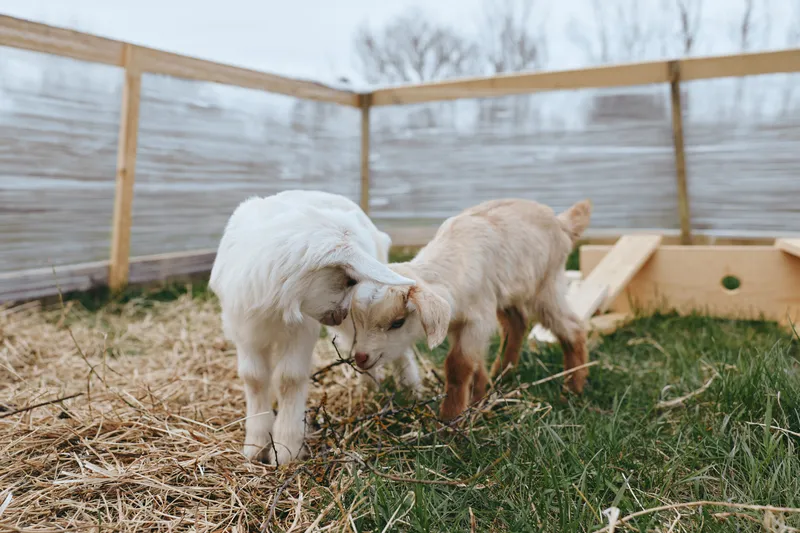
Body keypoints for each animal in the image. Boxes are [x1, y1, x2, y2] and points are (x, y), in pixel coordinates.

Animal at [209, 190, 415, 464]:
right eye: (349, 280)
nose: (340, 314)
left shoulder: (301, 330)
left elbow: (289, 379)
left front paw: (286, 449)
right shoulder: (244, 330)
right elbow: (253, 378)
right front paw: (255, 445)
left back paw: (411, 387)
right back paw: (371, 386)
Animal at [346, 198, 592, 421]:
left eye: (397, 322)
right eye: (357, 321)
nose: (361, 357)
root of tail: (561, 223)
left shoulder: (477, 320)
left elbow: (458, 364)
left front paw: (450, 419)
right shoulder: (459, 323)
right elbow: (476, 362)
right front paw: (477, 400)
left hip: (546, 285)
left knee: (573, 327)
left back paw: (573, 388)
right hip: (509, 293)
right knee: (517, 323)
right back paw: (503, 374)